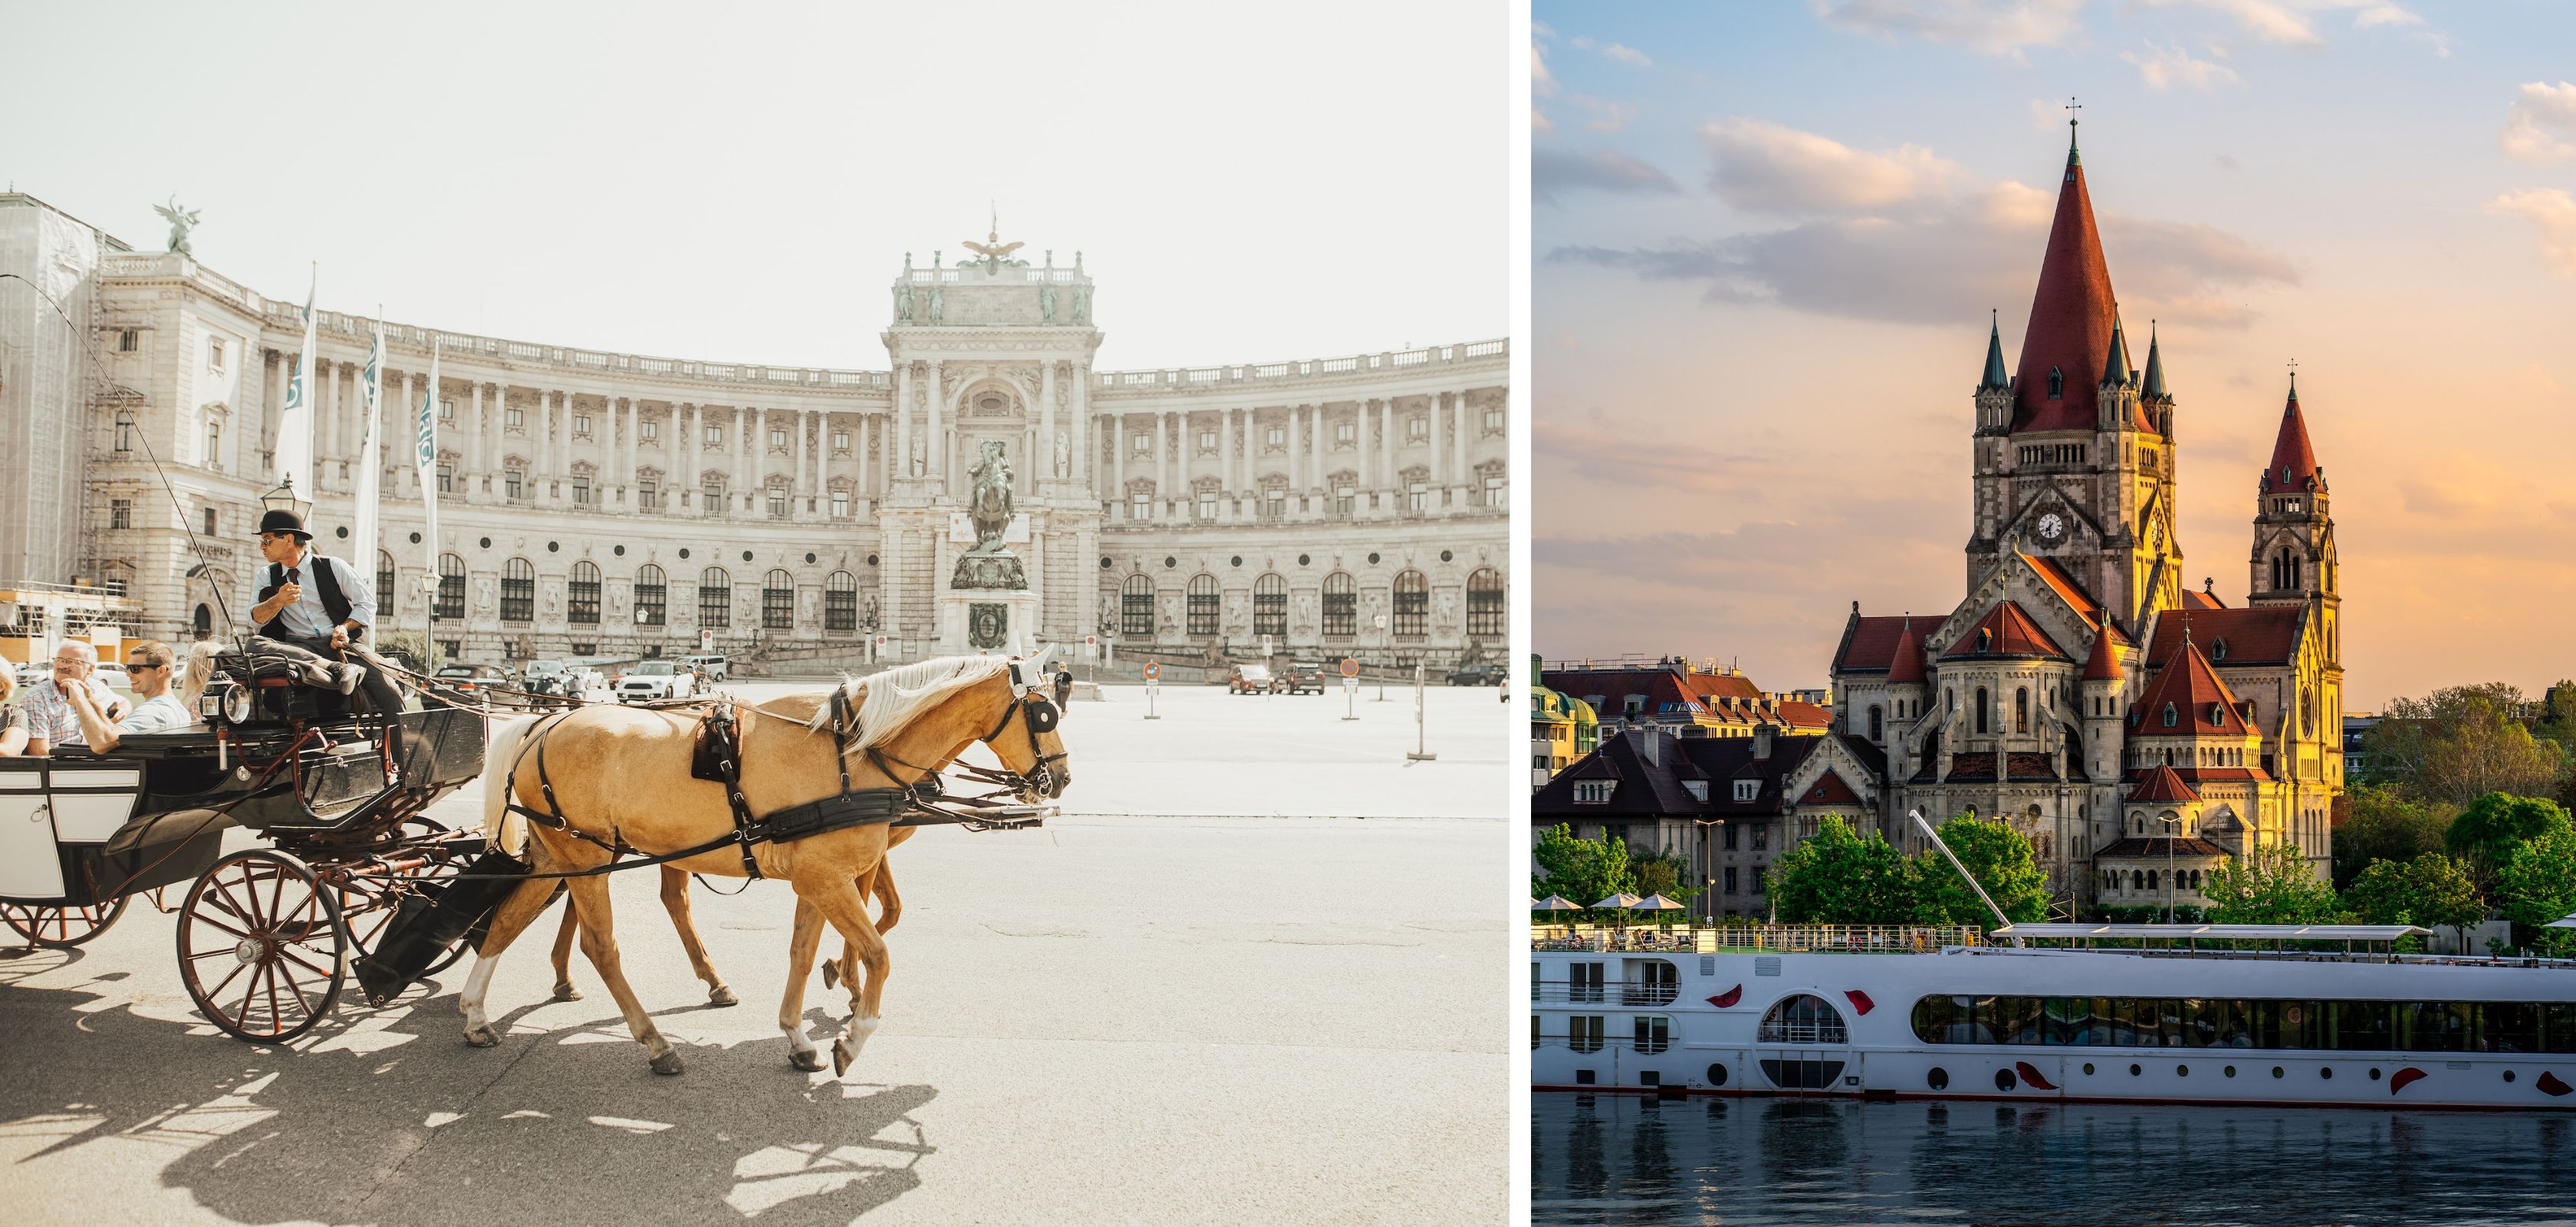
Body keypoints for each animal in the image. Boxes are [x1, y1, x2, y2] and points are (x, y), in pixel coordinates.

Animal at [463, 652, 1066, 1072]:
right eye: (1044, 713)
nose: (1060, 779)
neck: (852, 753)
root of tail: (541, 725)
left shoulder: (818, 880)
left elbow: (804, 952)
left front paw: (800, 1035)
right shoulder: (830, 877)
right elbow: (878, 950)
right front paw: (854, 1034)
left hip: (563, 852)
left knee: (510, 917)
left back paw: (476, 1015)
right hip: (586, 853)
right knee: (602, 945)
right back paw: (655, 1042)